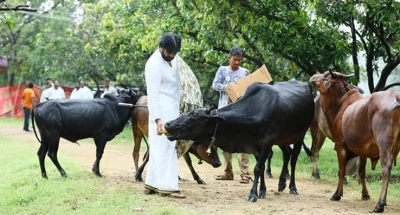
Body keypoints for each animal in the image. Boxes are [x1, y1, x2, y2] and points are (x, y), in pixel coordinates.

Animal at [164, 80, 314, 202]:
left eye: (194, 115)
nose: (168, 124)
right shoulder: (255, 146)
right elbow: (261, 168)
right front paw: (262, 192)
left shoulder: (267, 143)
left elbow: (257, 168)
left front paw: (253, 194)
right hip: (283, 139)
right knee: (287, 154)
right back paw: (281, 183)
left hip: (300, 135)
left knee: (293, 159)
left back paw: (292, 187)